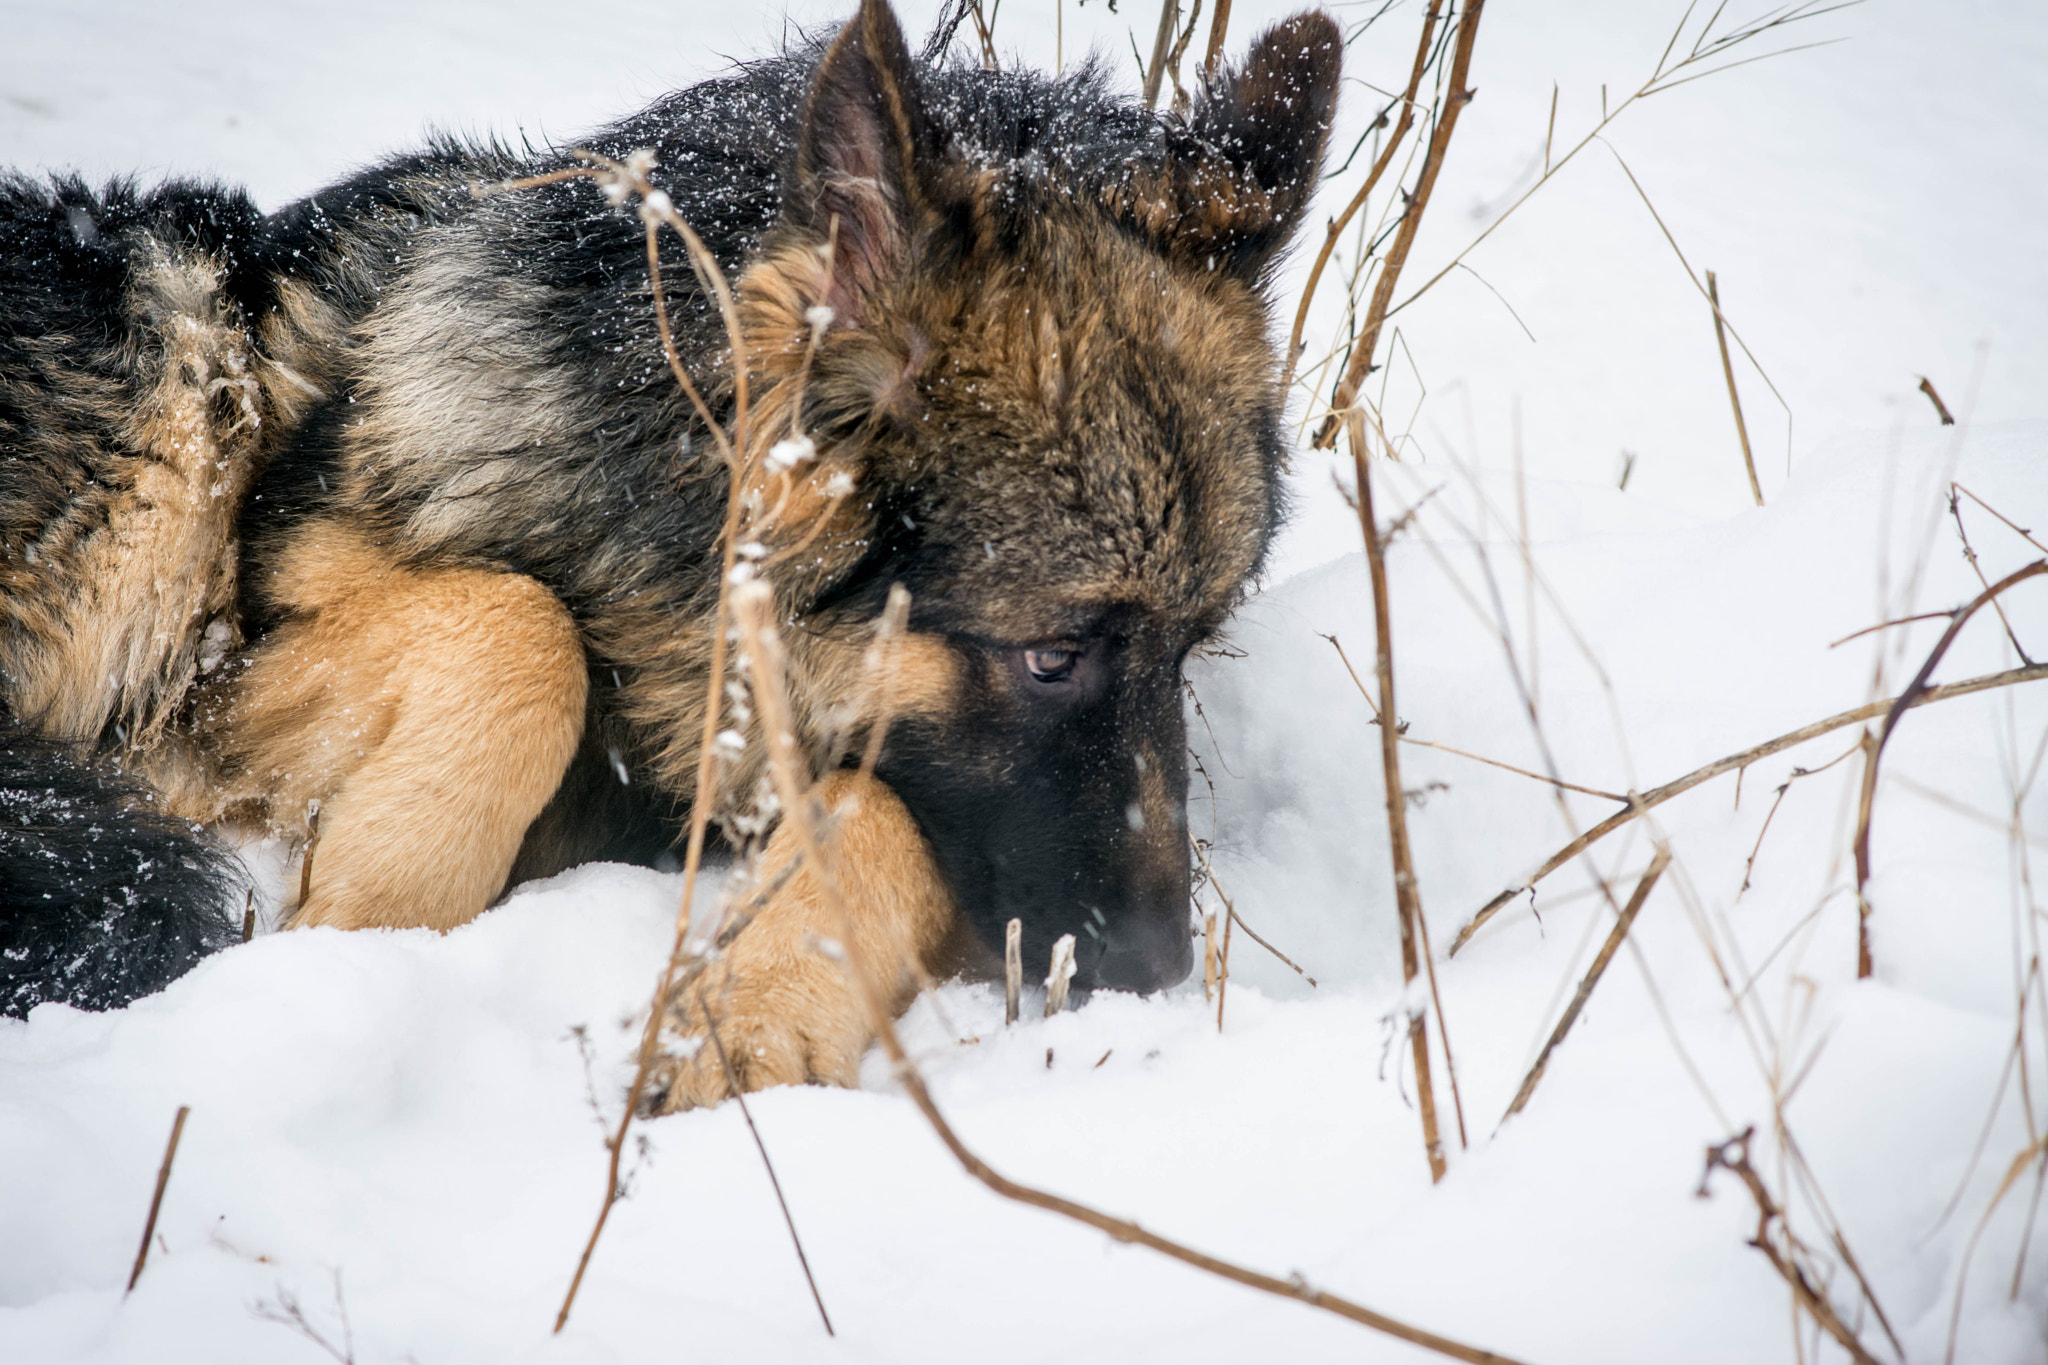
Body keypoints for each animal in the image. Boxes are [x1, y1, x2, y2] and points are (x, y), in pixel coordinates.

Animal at [0, 0, 1343, 1105]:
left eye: (1192, 647)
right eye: (1051, 657)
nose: (1159, 974)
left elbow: (877, 807)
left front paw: (747, 1016)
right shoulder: (194, 684)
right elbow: (523, 634)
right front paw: (354, 945)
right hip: (177, 366)